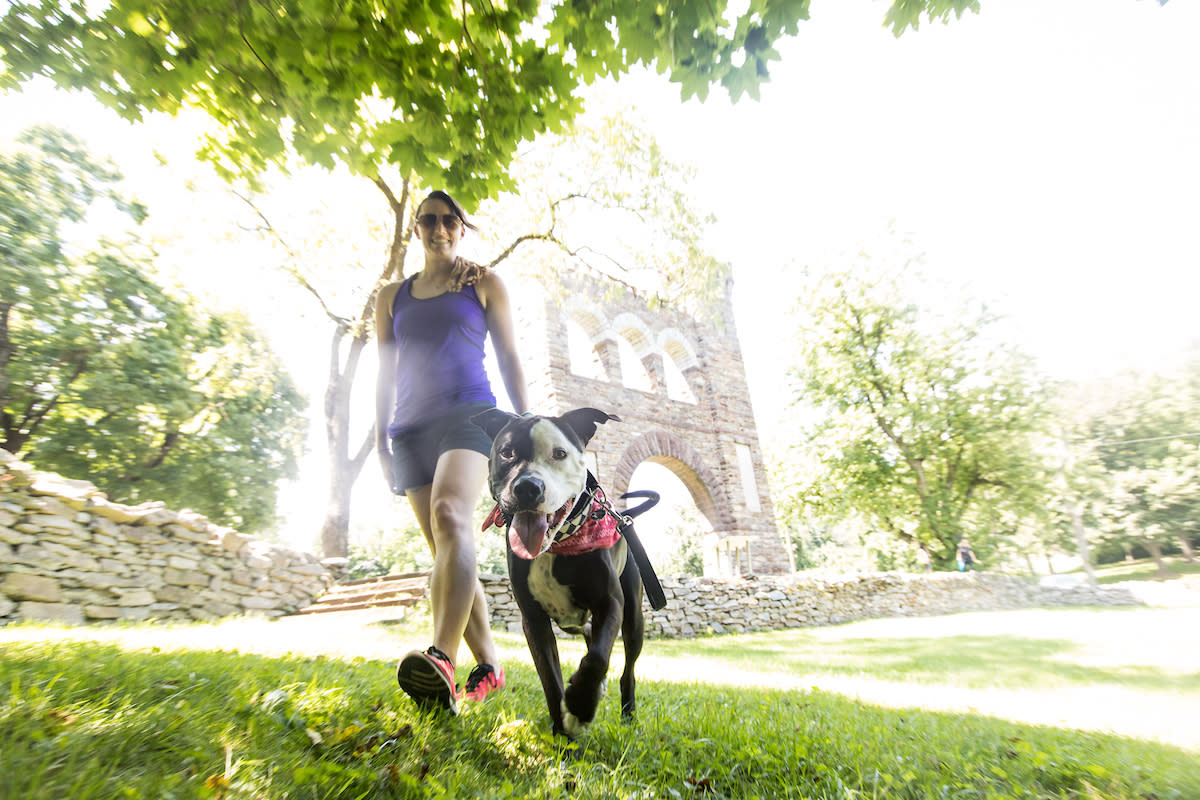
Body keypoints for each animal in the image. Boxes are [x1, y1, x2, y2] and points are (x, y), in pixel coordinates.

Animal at [472, 410, 667, 743]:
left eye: (559, 453)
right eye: (507, 452)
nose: (528, 487)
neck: (557, 544)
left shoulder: (610, 603)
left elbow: (598, 657)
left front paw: (579, 705)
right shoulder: (534, 621)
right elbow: (551, 679)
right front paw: (562, 733)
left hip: (633, 619)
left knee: (627, 669)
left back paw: (627, 713)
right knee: (589, 635)